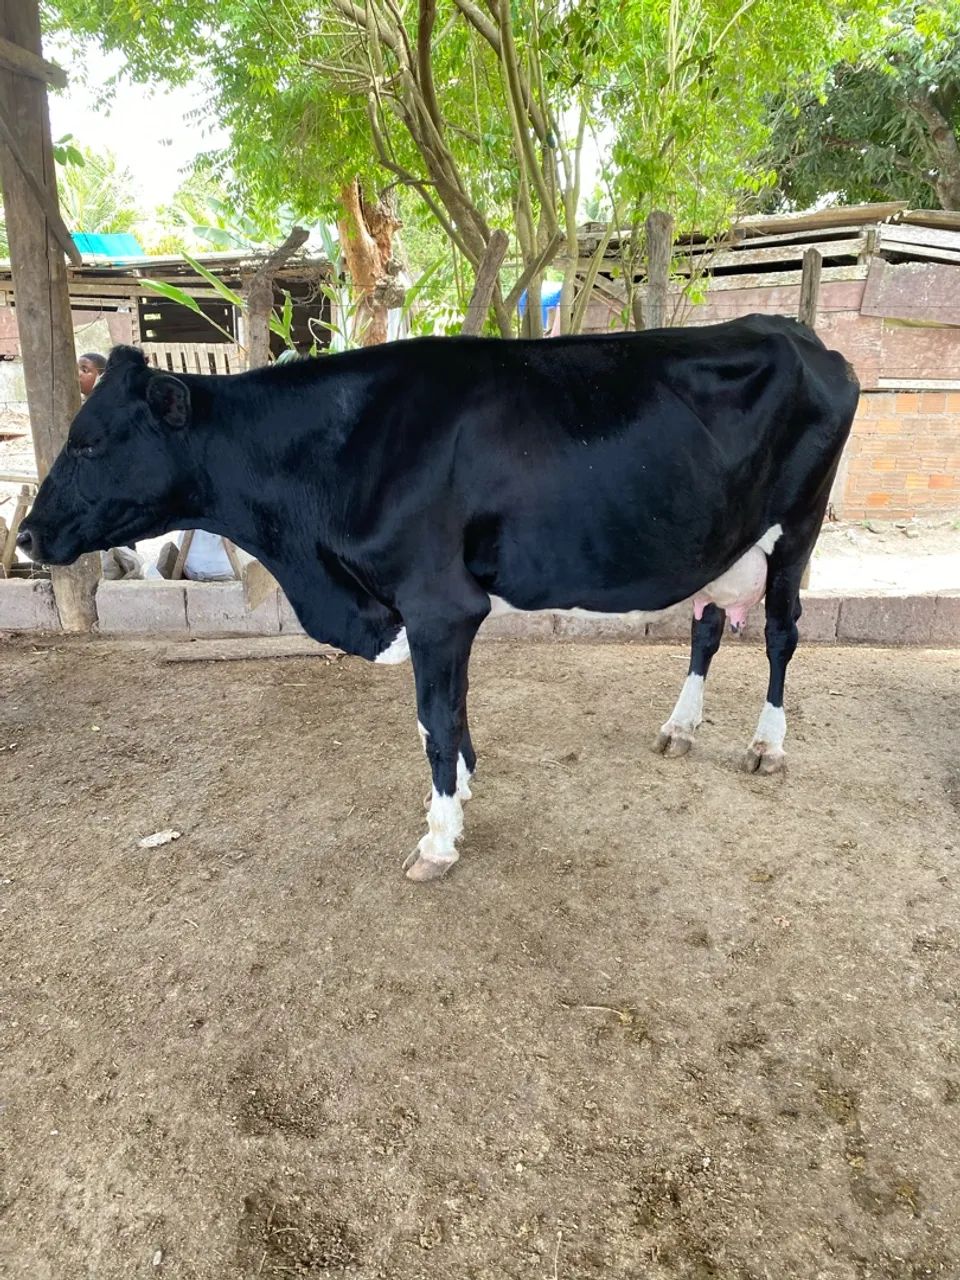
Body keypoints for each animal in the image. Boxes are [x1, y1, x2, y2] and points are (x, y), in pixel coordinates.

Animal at [17, 315, 859, 881]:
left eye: (89, 440)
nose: (25, 533)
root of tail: (797, 332)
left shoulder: (439, 603)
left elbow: (434, 719)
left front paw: (440, 835)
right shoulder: (440, 612)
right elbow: (446, 715)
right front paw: (461, 792)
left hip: (798, 530)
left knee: (781, 634)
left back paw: (767, 745)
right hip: (723, 543)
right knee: (708, 625)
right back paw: (680, 727)